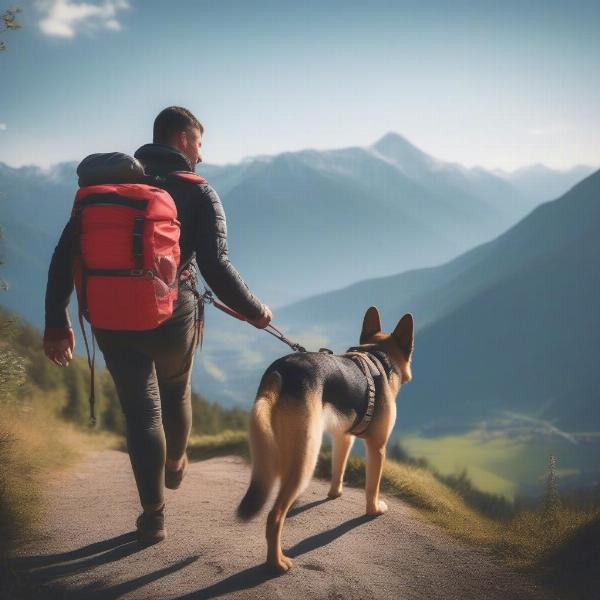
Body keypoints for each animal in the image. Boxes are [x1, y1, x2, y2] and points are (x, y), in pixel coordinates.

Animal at [237, 308, 414, 576]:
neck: (378, 357)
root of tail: (280, 372)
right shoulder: (378, 447)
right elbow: (372, 487)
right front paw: (374, 509)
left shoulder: (344, 437)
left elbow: (338, 469)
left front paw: (335, 493)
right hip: (306, 453)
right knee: (274, 516)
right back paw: (277, 563)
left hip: (281, 448)